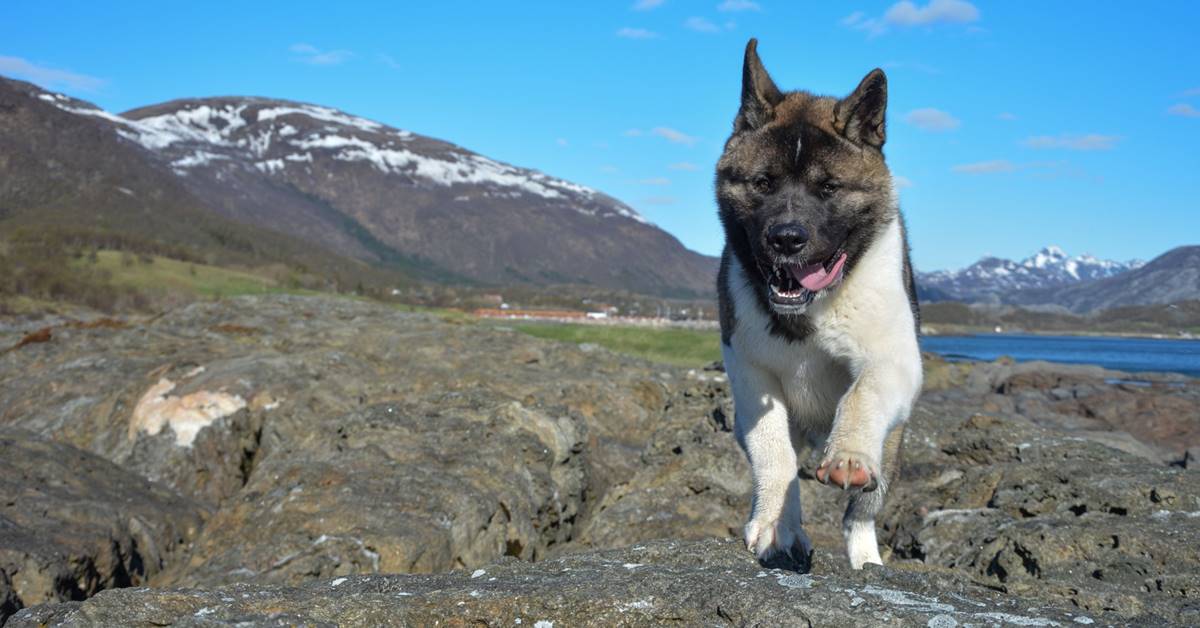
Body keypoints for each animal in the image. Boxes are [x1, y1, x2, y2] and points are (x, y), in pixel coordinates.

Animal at [715, 38, 921, 569]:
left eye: (829, 187)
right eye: (762, 183)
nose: (787, 239)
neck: (812, 308)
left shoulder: (894, 360)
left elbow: (863, 391)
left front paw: (849, 454)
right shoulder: (751, 377)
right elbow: (773, 452)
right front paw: (775, 524)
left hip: (893, 445)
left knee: (861, 514)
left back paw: (866, 559)